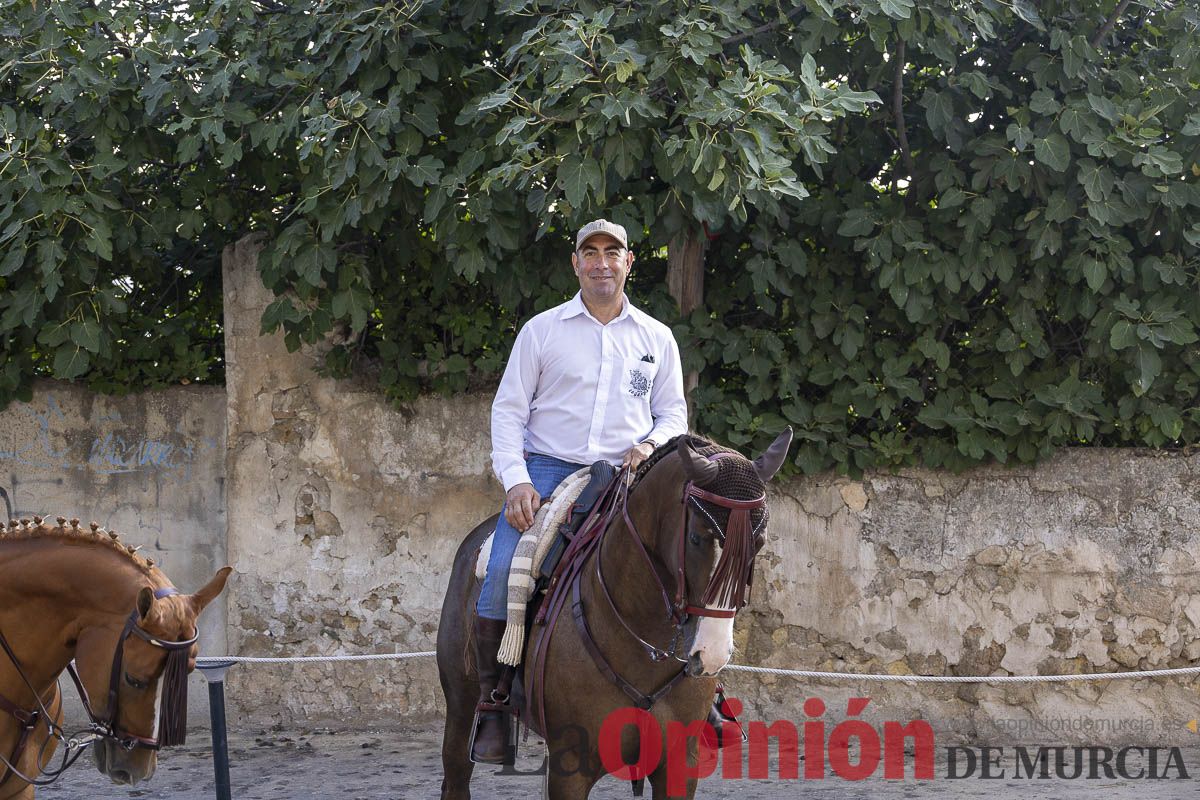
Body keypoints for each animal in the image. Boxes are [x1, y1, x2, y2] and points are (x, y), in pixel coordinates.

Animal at [438, 430, 792, 799]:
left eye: (759, 543)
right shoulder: (570, 770)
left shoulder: (679, 765)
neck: (642, 641)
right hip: (461, 706)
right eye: (696, 538)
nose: (711, 655)